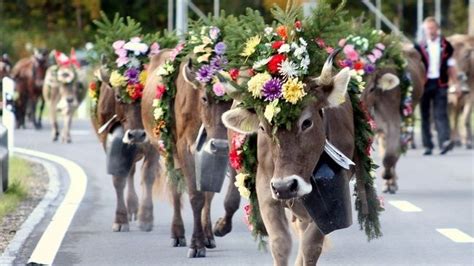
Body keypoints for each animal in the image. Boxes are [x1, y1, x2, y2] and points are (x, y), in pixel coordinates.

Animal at [142, 48, 234, 256]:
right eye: (205, 98)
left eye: (232, 100)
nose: (220, 145)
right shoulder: (184, 148)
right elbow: (195, 196)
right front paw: (196, 245)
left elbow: (212, 194)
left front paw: (211, 233)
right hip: (166, 150)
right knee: (175, 188)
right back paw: (177, 234)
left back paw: (208, 236)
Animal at [222, 53, 356, 264]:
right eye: (262, 127)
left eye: (307, 122)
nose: (285, 187)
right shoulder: (265, 188)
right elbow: (280, 243)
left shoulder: (329, 201)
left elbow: (311, 245)